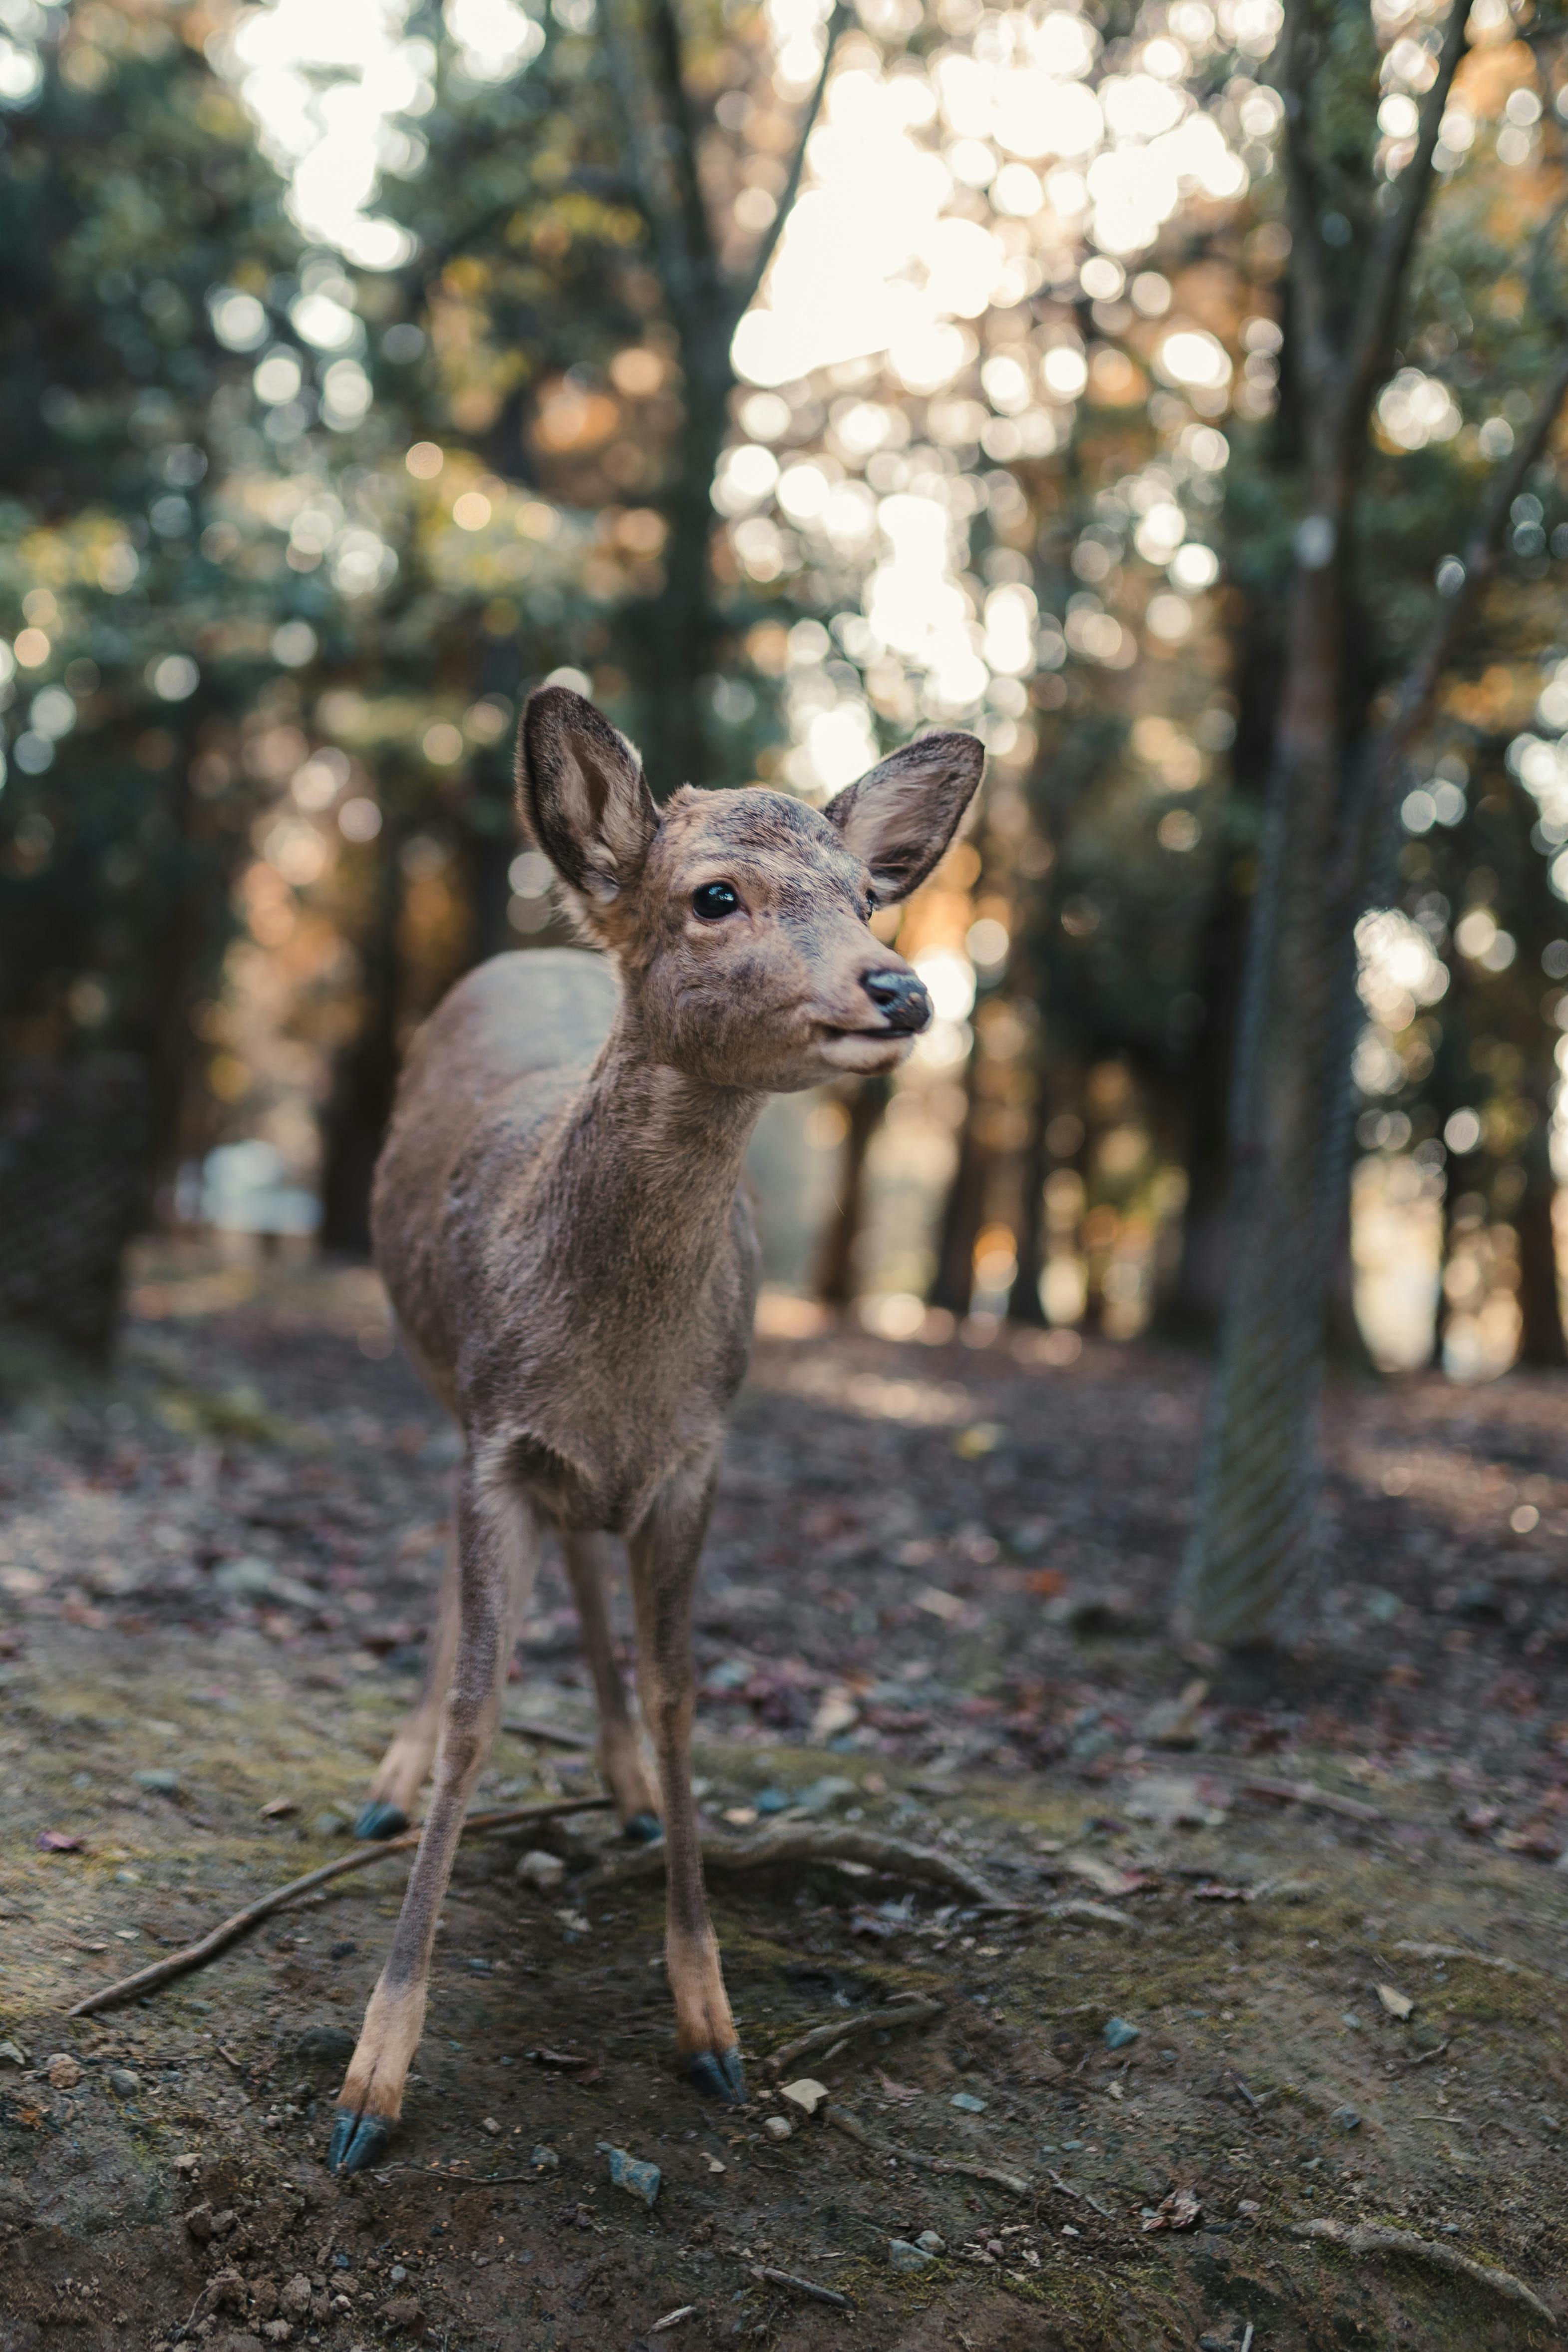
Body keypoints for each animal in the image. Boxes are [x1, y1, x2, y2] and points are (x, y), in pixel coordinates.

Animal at [327, 685, 983, 2174]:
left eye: (867, 893)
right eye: (714, 894)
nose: (899, 988)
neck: (613, 1366)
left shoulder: (695, 1451)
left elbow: (689, 1695)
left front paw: (710, 2025)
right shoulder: (499, 1433)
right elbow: (478, 1707)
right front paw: (367, 2084)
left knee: (586, 1554)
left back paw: (618, 1777)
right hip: (438, 1373)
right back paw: (390, 1775)